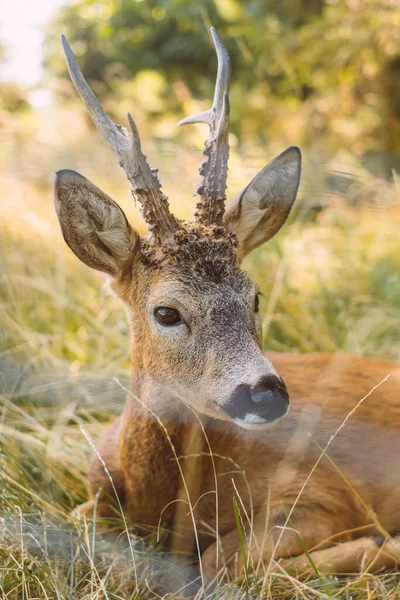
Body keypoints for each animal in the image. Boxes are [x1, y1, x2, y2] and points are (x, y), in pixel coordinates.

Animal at [54, 28, 400, 584]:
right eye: (166, 312)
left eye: (254, 296)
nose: (266, 393)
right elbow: (82, 521)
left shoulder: (324, 494)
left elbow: (221, 560)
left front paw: (376, 544)